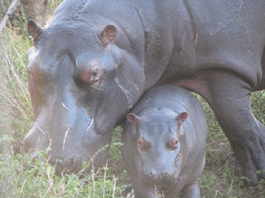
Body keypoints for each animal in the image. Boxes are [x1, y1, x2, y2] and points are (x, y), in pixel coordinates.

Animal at [24, 0, 264, 183]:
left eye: (94, 73)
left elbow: (240, 125)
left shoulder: (224, 70)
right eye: (31, 68)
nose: (53, 162)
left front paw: (253, 176)